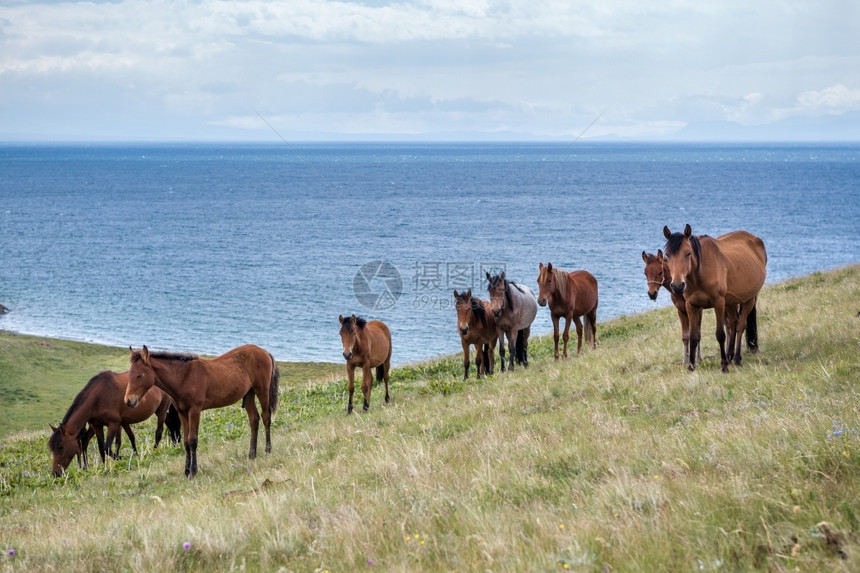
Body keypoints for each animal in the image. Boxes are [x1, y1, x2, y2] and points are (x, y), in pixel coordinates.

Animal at [47, 368, 179, 476]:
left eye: (61, 447)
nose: (55, 473)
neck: (99, 396)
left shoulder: (114, 424)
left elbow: (108, 447)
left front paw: (121, 458)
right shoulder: (97, 425)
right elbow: (102, 447)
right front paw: (104, 467)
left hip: (162, 410)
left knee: (159, 431)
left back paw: (154, 451)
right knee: (171, 424)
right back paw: (174, 442)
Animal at [126, 344, 278, 478]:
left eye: (139, 375)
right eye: (129, 375)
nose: (128, 401)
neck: (183, 378)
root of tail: (264, 351)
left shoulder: (195, 410)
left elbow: (192, 440)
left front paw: (193, 472)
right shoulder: (182, 413)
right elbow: (186, 442)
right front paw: (186, 471)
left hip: (262, 390)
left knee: (266, 417)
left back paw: (267, 451)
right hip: (249, 393)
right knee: (254, 419)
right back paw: (252, 455)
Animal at [660, 223, 768, 370]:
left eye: (688, 253)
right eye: (667, 255)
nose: (677, 286)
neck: (701, 274)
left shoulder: (718, 303)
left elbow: (720, 334)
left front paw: (724, 366)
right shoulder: (691, 305)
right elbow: (694, 336)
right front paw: (691, 366)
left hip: (748, 298)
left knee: (740, 326)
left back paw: (736, 358)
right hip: (731, 302)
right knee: (733, 324)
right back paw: (730, 356)